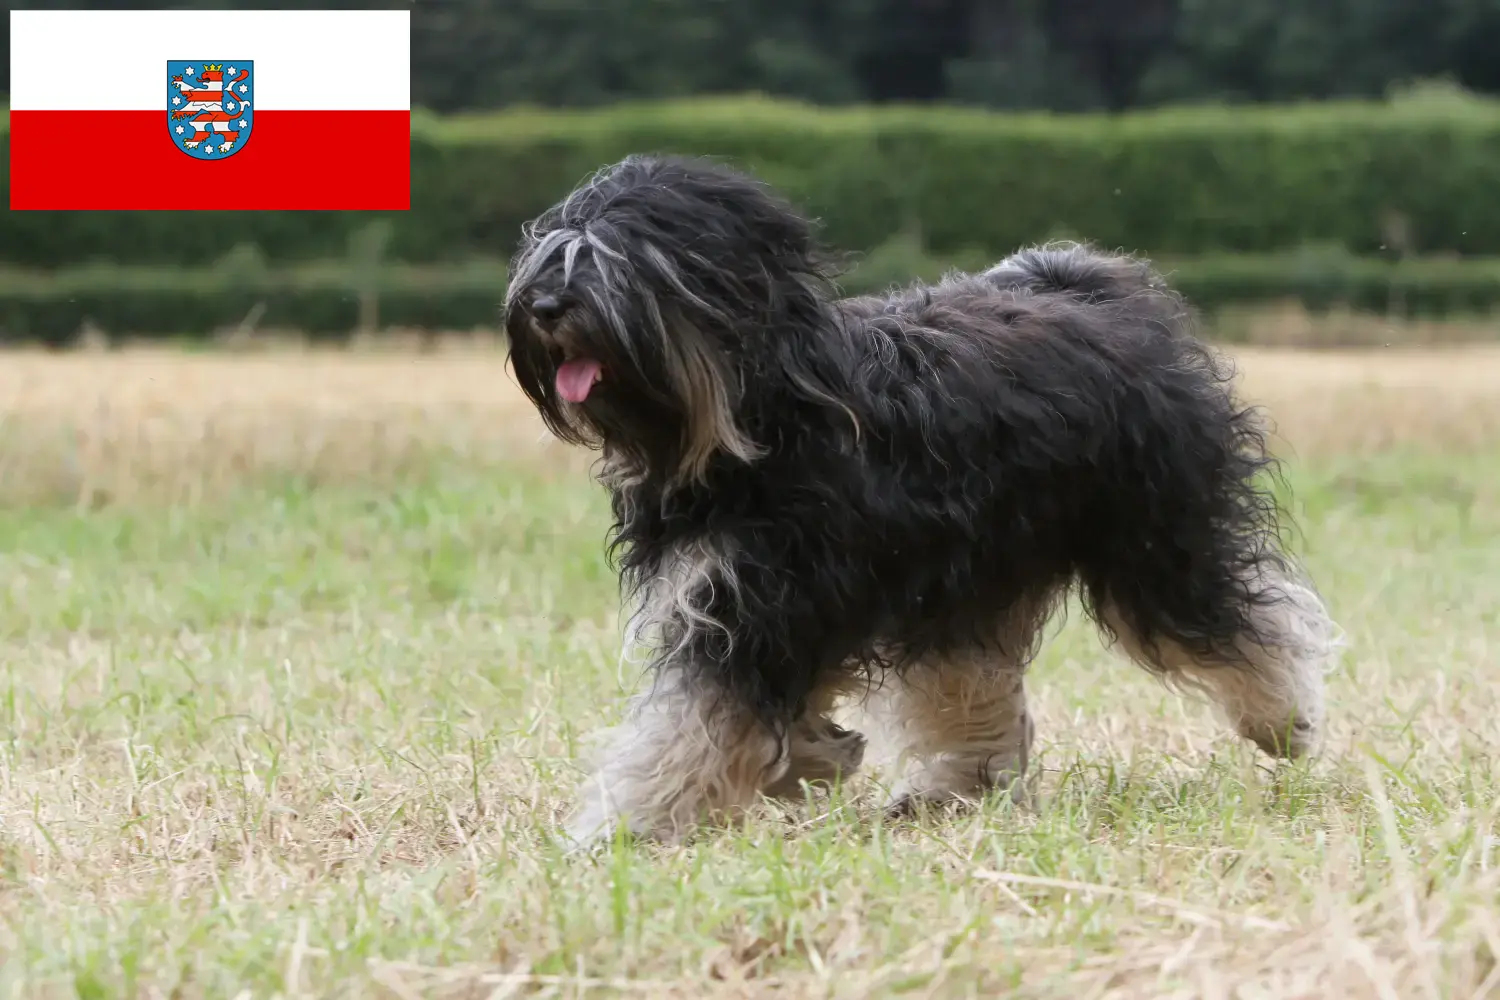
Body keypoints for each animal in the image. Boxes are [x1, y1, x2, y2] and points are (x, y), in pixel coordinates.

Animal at [501, 152, 1338, 851]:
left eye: (619, 261)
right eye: (551, 250)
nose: (542, 305)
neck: (761, 417)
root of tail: (1091, 287)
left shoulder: (761, 603)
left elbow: (689, 728)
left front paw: (619, 832)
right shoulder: (764, 599)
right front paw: (817, 757)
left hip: (1151, 536)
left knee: (1234, 619)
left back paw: (1285, 722)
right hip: (967, 580)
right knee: (970, 683)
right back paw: (951, 788)